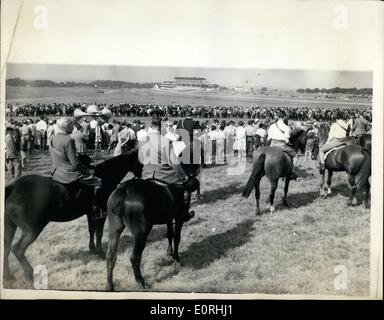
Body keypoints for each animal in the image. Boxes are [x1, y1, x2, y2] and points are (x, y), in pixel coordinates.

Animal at [3, 149, 142, 280]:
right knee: (17, 249)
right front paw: (100, 252)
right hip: (32, 230)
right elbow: (99, 232)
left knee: (6, 247)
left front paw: (92, 249)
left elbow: (91, 230)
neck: (105, 176)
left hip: (10, 226)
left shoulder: (90, 214)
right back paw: (29, 274)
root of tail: (13, 187)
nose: (142, 176)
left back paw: (8, 275)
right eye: (140, 161)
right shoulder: (102, 214)